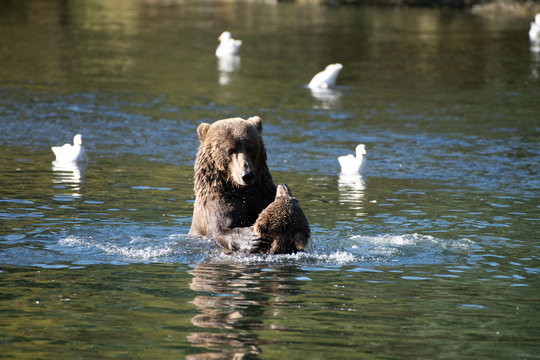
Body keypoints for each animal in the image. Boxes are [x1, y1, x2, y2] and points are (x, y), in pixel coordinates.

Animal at [190, 116, 310, 255]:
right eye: (230, 150)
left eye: (250, 147)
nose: (247, 175)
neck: (240, 190)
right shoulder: (217, 201)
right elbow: (221, 229)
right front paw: (250, 238)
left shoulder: (261, 194)